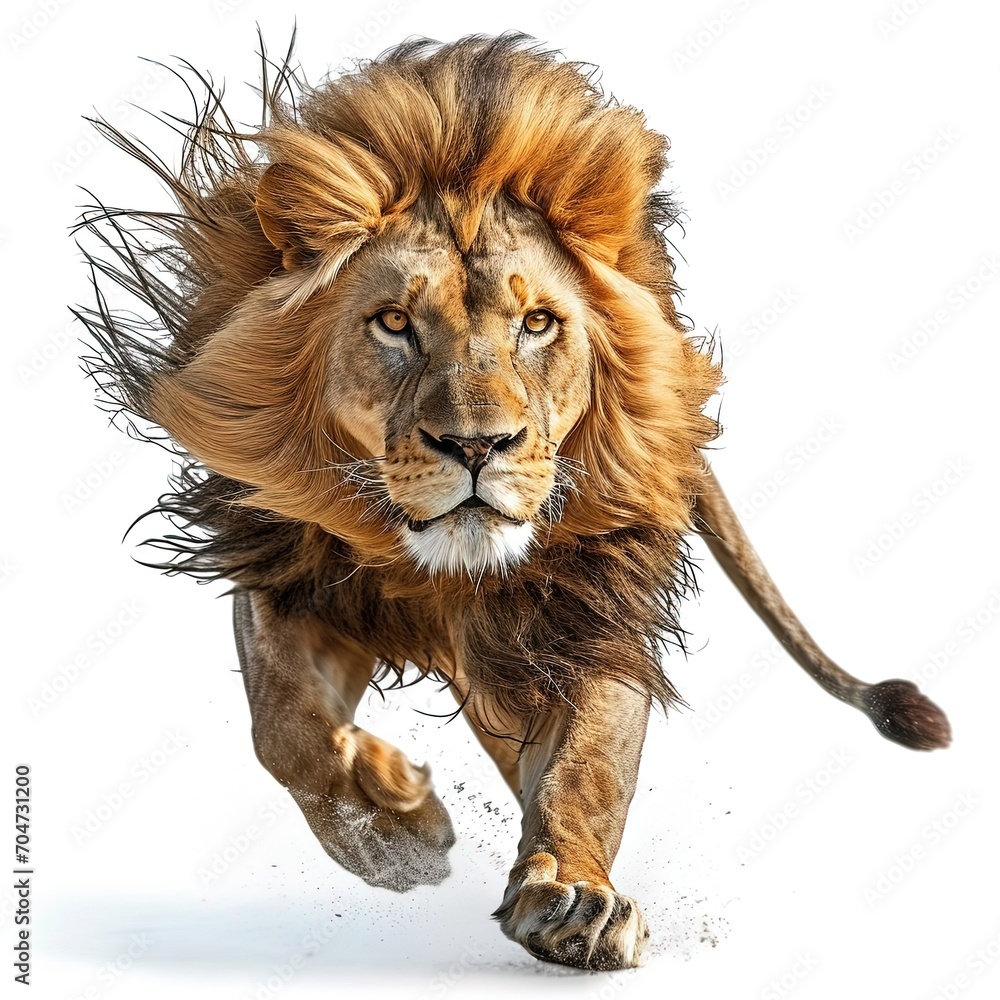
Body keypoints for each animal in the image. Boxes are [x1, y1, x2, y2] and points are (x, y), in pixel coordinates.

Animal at [75, 33, 951, 971]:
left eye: (537, 324)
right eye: (393, 323)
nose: (475, 446)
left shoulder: (585, 615)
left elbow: (587, 768)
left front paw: (574, 898)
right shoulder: (292, 567)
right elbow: (284, 729)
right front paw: (396, 833)